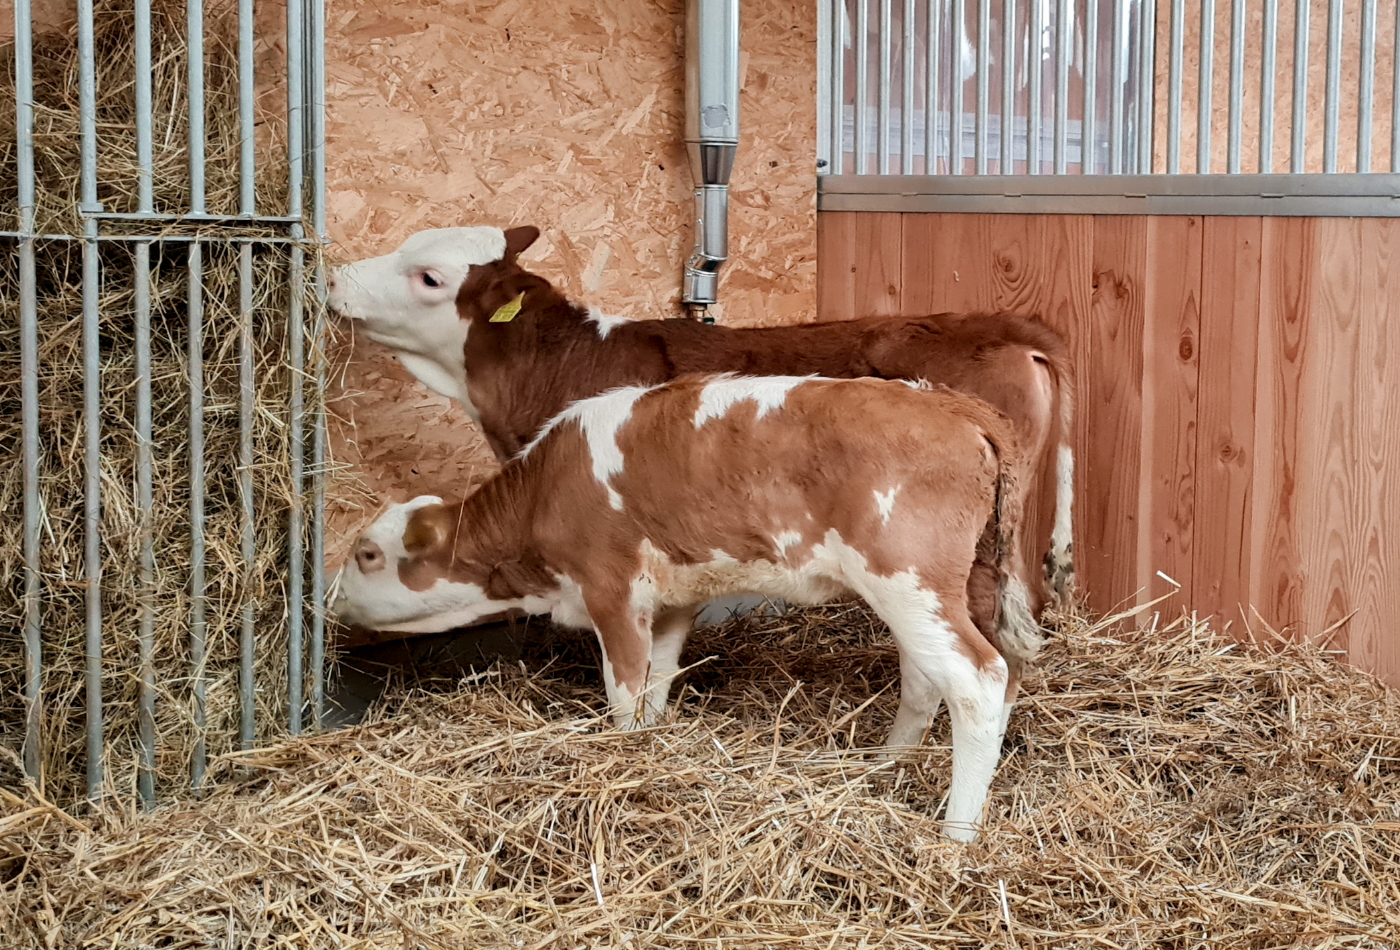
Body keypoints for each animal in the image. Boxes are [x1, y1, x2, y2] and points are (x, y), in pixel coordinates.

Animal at [333, 372, 1047, 839]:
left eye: (366, 554)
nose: (332, 597)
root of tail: (954, 404)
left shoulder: (611, 587)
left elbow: (623, 688)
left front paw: (624, 757)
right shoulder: (673, 597)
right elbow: (658, 680)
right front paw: (653, 747)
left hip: (907, 578)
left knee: (978, 679)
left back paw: (957, 833)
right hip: (955, 584)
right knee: (965, 674)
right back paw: (887, 767)